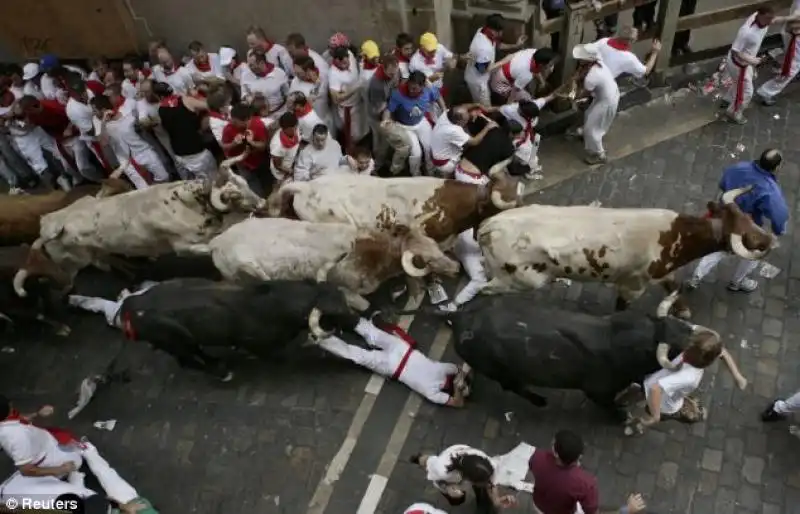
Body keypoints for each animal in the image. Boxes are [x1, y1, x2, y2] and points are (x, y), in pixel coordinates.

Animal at [12, 152, 262, 296]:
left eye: (245, 183)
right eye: (234, 195)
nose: (261, 202)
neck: (187, 203)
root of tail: (49, 224)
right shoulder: (183, 247)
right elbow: (208, 249)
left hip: (98, 250)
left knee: (108, 259)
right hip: (77, 261)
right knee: (96, 265)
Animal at [113, 278, 362, 378]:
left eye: (343, 299)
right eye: (337, 314)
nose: (358, 321)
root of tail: (130, 305)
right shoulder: (262, 346)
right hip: (175, 342)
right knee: (188, 361)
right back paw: (222, 373)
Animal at [450, 290, 744, 418]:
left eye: (681, 324)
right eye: (675, 347)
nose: (714, 342)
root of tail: (459, 317)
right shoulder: (597, 392)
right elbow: (610, 405)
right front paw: (622, 415)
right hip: (502, 372)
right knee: (513, 387)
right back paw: (539, 401)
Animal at [476, 186, 776, 316]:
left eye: (749, 217)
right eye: (748, 236)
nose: (770, 239)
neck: (674, 235)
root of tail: (489, 225)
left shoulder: (663, 274)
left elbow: (675, 287)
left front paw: (682, 310)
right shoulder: (632, 286)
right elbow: (621, 309)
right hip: (518, 280)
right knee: (484, 290)